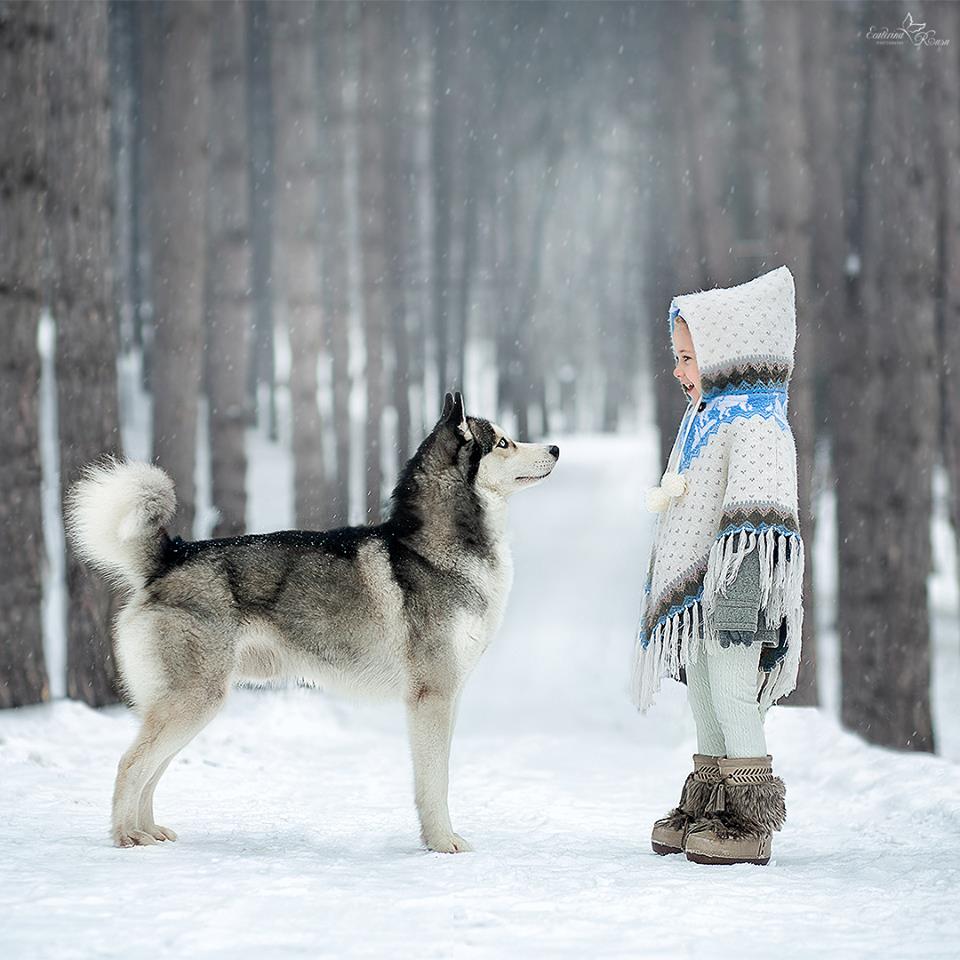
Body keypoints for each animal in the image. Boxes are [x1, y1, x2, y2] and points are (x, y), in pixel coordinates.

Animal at [67, 394, 560, 852]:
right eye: (503, 442)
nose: (555, 447)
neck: (438, 549)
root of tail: (169, 556)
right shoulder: (431, 697)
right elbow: (434, 783)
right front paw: (442, 842)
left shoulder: (449, 696)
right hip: (194, 700)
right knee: (131, 764)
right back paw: (126, 836)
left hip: (189, 706)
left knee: (152, 769)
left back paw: (149, 832)